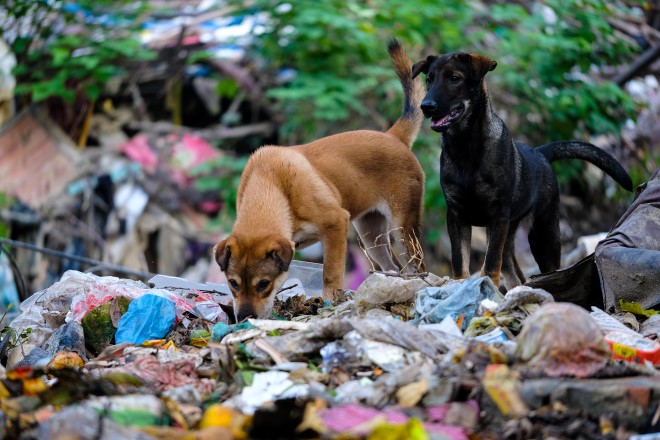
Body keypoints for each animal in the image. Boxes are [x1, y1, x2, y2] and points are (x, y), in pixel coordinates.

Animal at [214, 40, 426, 320]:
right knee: (393, 267)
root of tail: (394, 136)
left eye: (263, 284)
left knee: (415, 268)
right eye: (233, 284)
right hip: (371, 235)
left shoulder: (336, 224)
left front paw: (329, 301)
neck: (270, 184)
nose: (244, 318)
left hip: (403, 231)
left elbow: (331, 273)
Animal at [412, 52, 636, 288]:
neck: (466, 146)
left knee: (547, 268)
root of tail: (540, 153)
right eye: (429, 80)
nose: (426, 106)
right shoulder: (457, 214)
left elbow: (490, 263)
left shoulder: (498, 214)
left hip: (543, 233)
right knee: (513, 273)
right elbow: (459, 260)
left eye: (454, 78)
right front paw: (461, 285)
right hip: (510, 232)